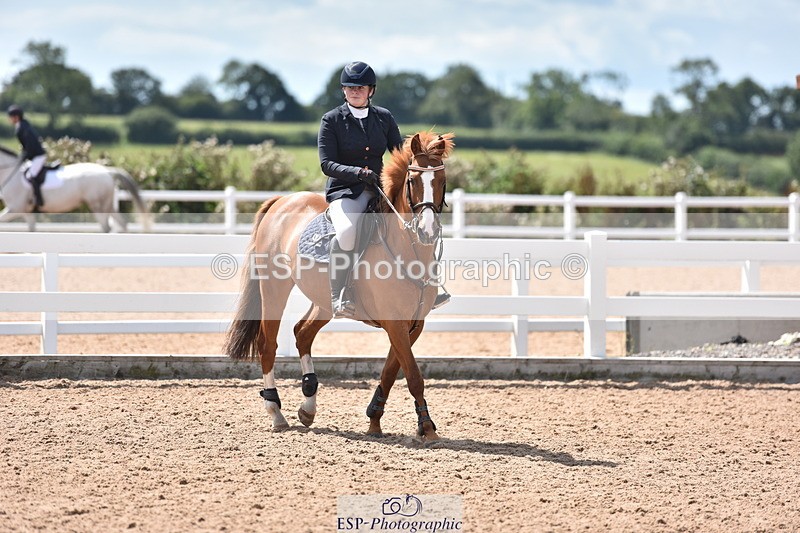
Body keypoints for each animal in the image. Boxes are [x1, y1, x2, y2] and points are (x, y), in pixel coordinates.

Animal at [0, 145, 150, 232]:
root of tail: (108, 171)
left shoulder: (16, 208)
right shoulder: (26, 212)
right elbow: (32, 229)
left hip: (98, 206)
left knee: (106, 227)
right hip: (107, 205)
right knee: (121, 224)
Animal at [224, 131, 454, 442]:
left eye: (441, 180)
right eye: (412, 181)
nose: (427, 231)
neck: (407, 249)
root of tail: (283, 200)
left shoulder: (412, 325)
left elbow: (391, 371)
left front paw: (375, 419)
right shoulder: (395, 324)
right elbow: (413, 375)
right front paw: (427, 427)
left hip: (323, 299)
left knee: (302, 333)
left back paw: (308, 407)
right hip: (274, 288)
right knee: (267, 344)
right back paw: (276, 413)